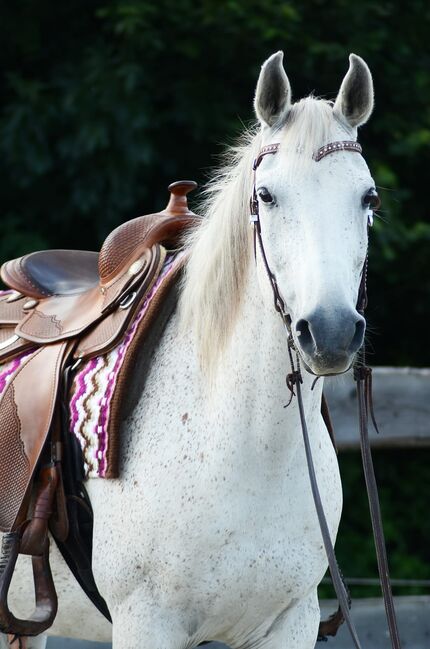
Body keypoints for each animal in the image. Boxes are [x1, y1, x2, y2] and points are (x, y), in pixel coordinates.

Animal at [2, 52, 376, 648]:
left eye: (369, 197)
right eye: (266, 196)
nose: (331, 331)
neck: (247, 447)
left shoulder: (290, 623)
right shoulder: (146, 623)